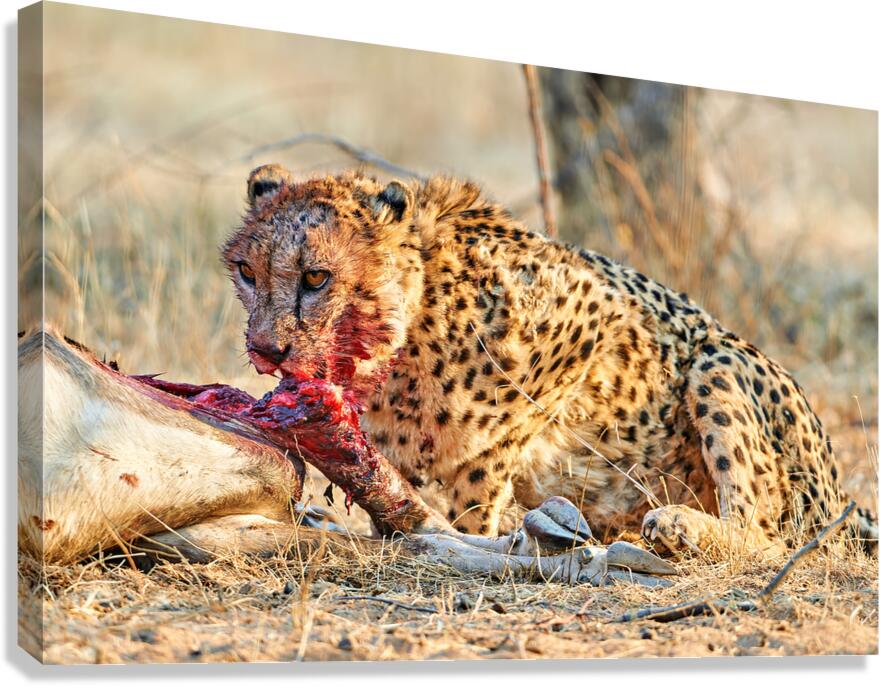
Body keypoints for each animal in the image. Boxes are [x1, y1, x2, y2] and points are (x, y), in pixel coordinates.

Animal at [221, 163, 878, 558]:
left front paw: (472, 529)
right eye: (247, 272)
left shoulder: (599, 313)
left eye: (315, 277)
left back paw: (678, 525)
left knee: (771, 533)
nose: (265, 348)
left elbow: (490, 453)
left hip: (719, 361)